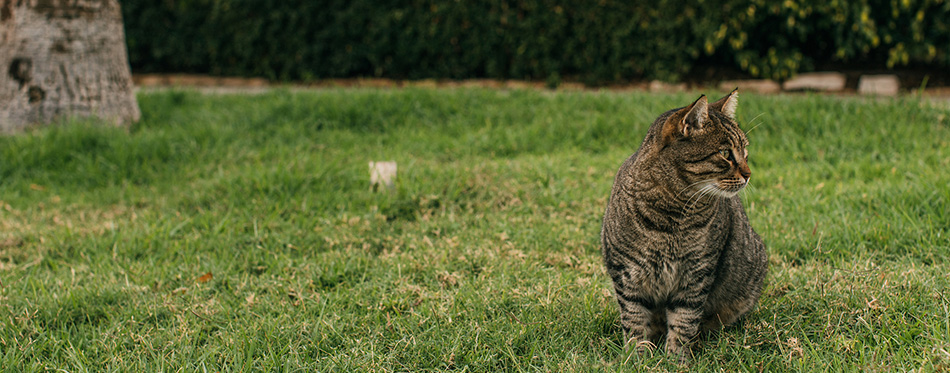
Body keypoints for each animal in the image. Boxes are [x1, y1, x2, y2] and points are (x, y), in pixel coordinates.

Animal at [608, 88, 768, 358]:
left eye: (745, 152)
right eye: (726, 154)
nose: (749, 174)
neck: (670, 214)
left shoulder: (697, 274)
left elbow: (684, 320)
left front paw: (676, 359)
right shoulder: (626, 273)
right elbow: (634, 320)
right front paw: (637, 357)